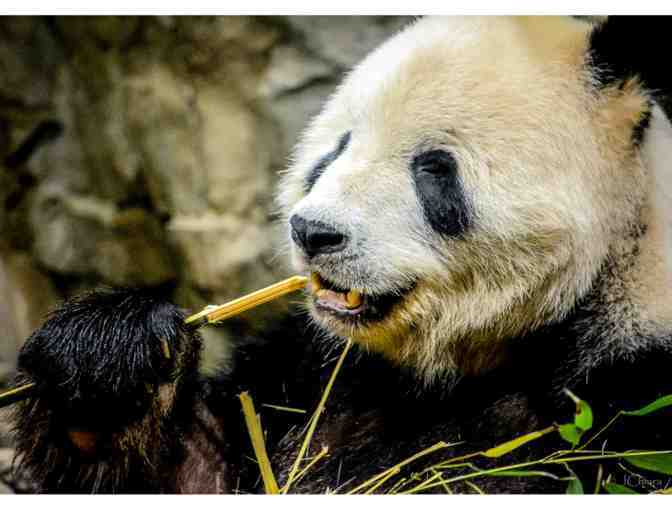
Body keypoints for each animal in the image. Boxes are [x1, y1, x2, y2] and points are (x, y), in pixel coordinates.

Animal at [6, 15, 672, 494]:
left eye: (434, 169)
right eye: (338, 146)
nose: (313, 232)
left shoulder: (627, 391)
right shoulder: (316, 367)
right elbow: (198, 470)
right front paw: (107, 363)